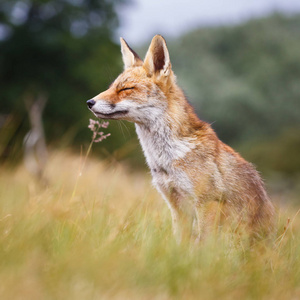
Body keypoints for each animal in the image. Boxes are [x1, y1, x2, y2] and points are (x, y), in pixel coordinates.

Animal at [86, 34, 274, 243]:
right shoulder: (176, 204)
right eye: (111, 87)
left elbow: (205, 244)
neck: (167, 158)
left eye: (126, 89)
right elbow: (179, 244)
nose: (89, 102)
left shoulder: (207, 202)